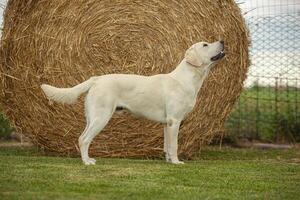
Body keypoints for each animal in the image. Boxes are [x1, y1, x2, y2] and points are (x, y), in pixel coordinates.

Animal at [41, 40, 225, 164]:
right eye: (205, 45)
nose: (222, 41)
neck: (187, 78)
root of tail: (96, 79)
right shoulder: (174, 121)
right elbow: (174, 145)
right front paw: (176, 162)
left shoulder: (167, 123)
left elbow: (167, 145)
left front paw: (168, 161)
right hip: (101, 117)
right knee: (84, 139)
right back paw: (87, 162)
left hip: (92, 117)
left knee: (82, 136)